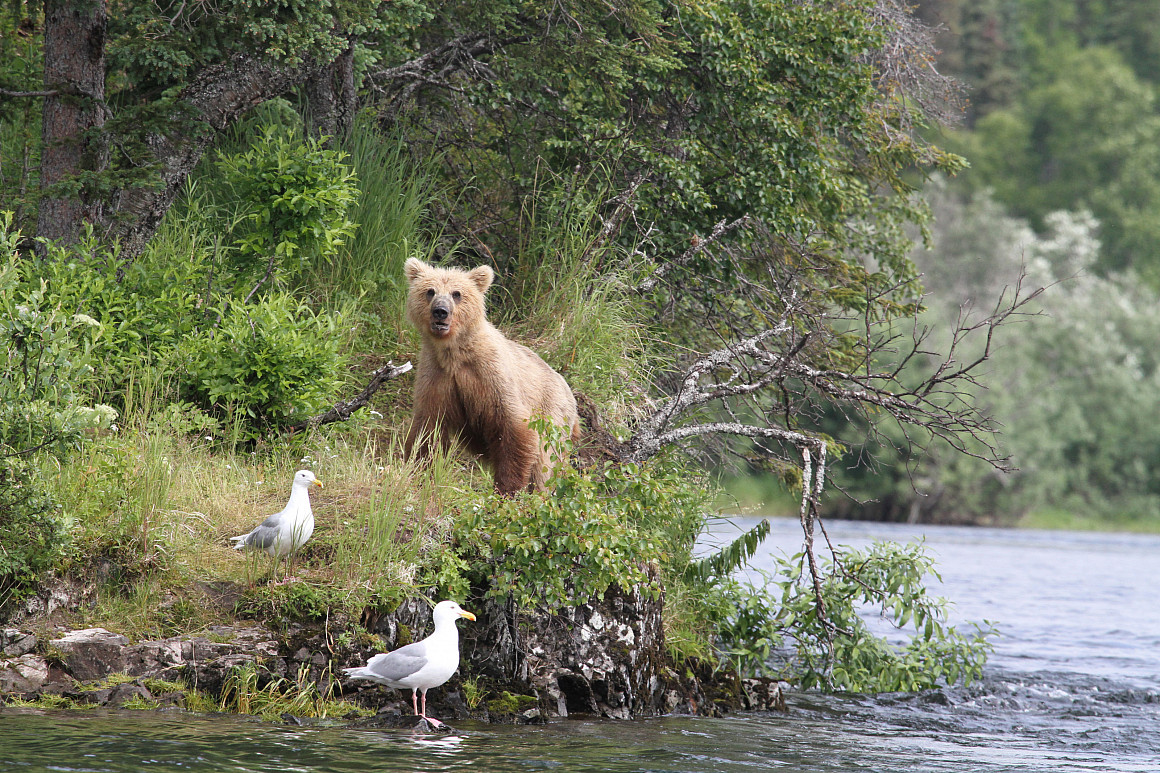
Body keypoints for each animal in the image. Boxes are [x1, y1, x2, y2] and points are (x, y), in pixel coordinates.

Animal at [402, 257, 581, 494]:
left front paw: (507, 489)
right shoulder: (436, 375)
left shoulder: (491, 375)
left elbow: (515, 428)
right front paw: (421, 470)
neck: (455, 353)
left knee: (545, 464)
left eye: (457, 293)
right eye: (430, 291)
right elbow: (428, 428)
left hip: (553, 415)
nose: (440, 311)